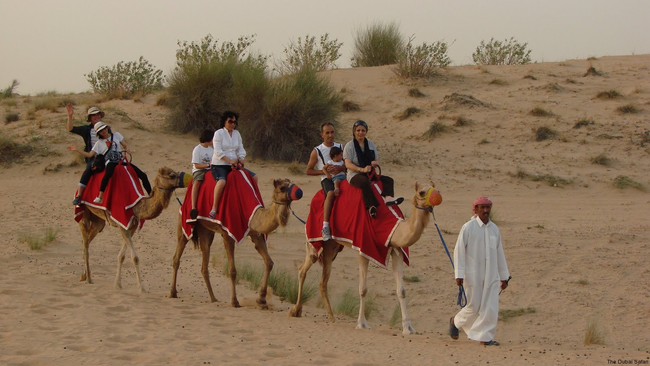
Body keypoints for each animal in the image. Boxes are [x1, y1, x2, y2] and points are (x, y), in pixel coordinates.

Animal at [167, 177, 298, 308]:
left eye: (290, 183)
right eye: (282, 187)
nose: (298, 192)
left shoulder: (256, 234)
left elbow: (269, 263)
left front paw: (261, 300)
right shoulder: (228, 234)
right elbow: (233, 271)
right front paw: (235, 301)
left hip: (205, 230)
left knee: (204, 262)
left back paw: (213, 298)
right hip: (184, 221)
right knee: (177, 256)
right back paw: (173, 292)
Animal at [290, 182, 438, 336]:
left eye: (435, 188)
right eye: (422, 192)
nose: (437, 197)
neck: (391, 227)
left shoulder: (397, 250)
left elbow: (401, 290)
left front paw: (408, 328)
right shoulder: (363, 248)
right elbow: (363, 289)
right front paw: (361, 323)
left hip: (332, 246)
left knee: (322, 281)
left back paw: (331, 317)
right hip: (314, 240)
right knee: (303, 268)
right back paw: (295, 310)